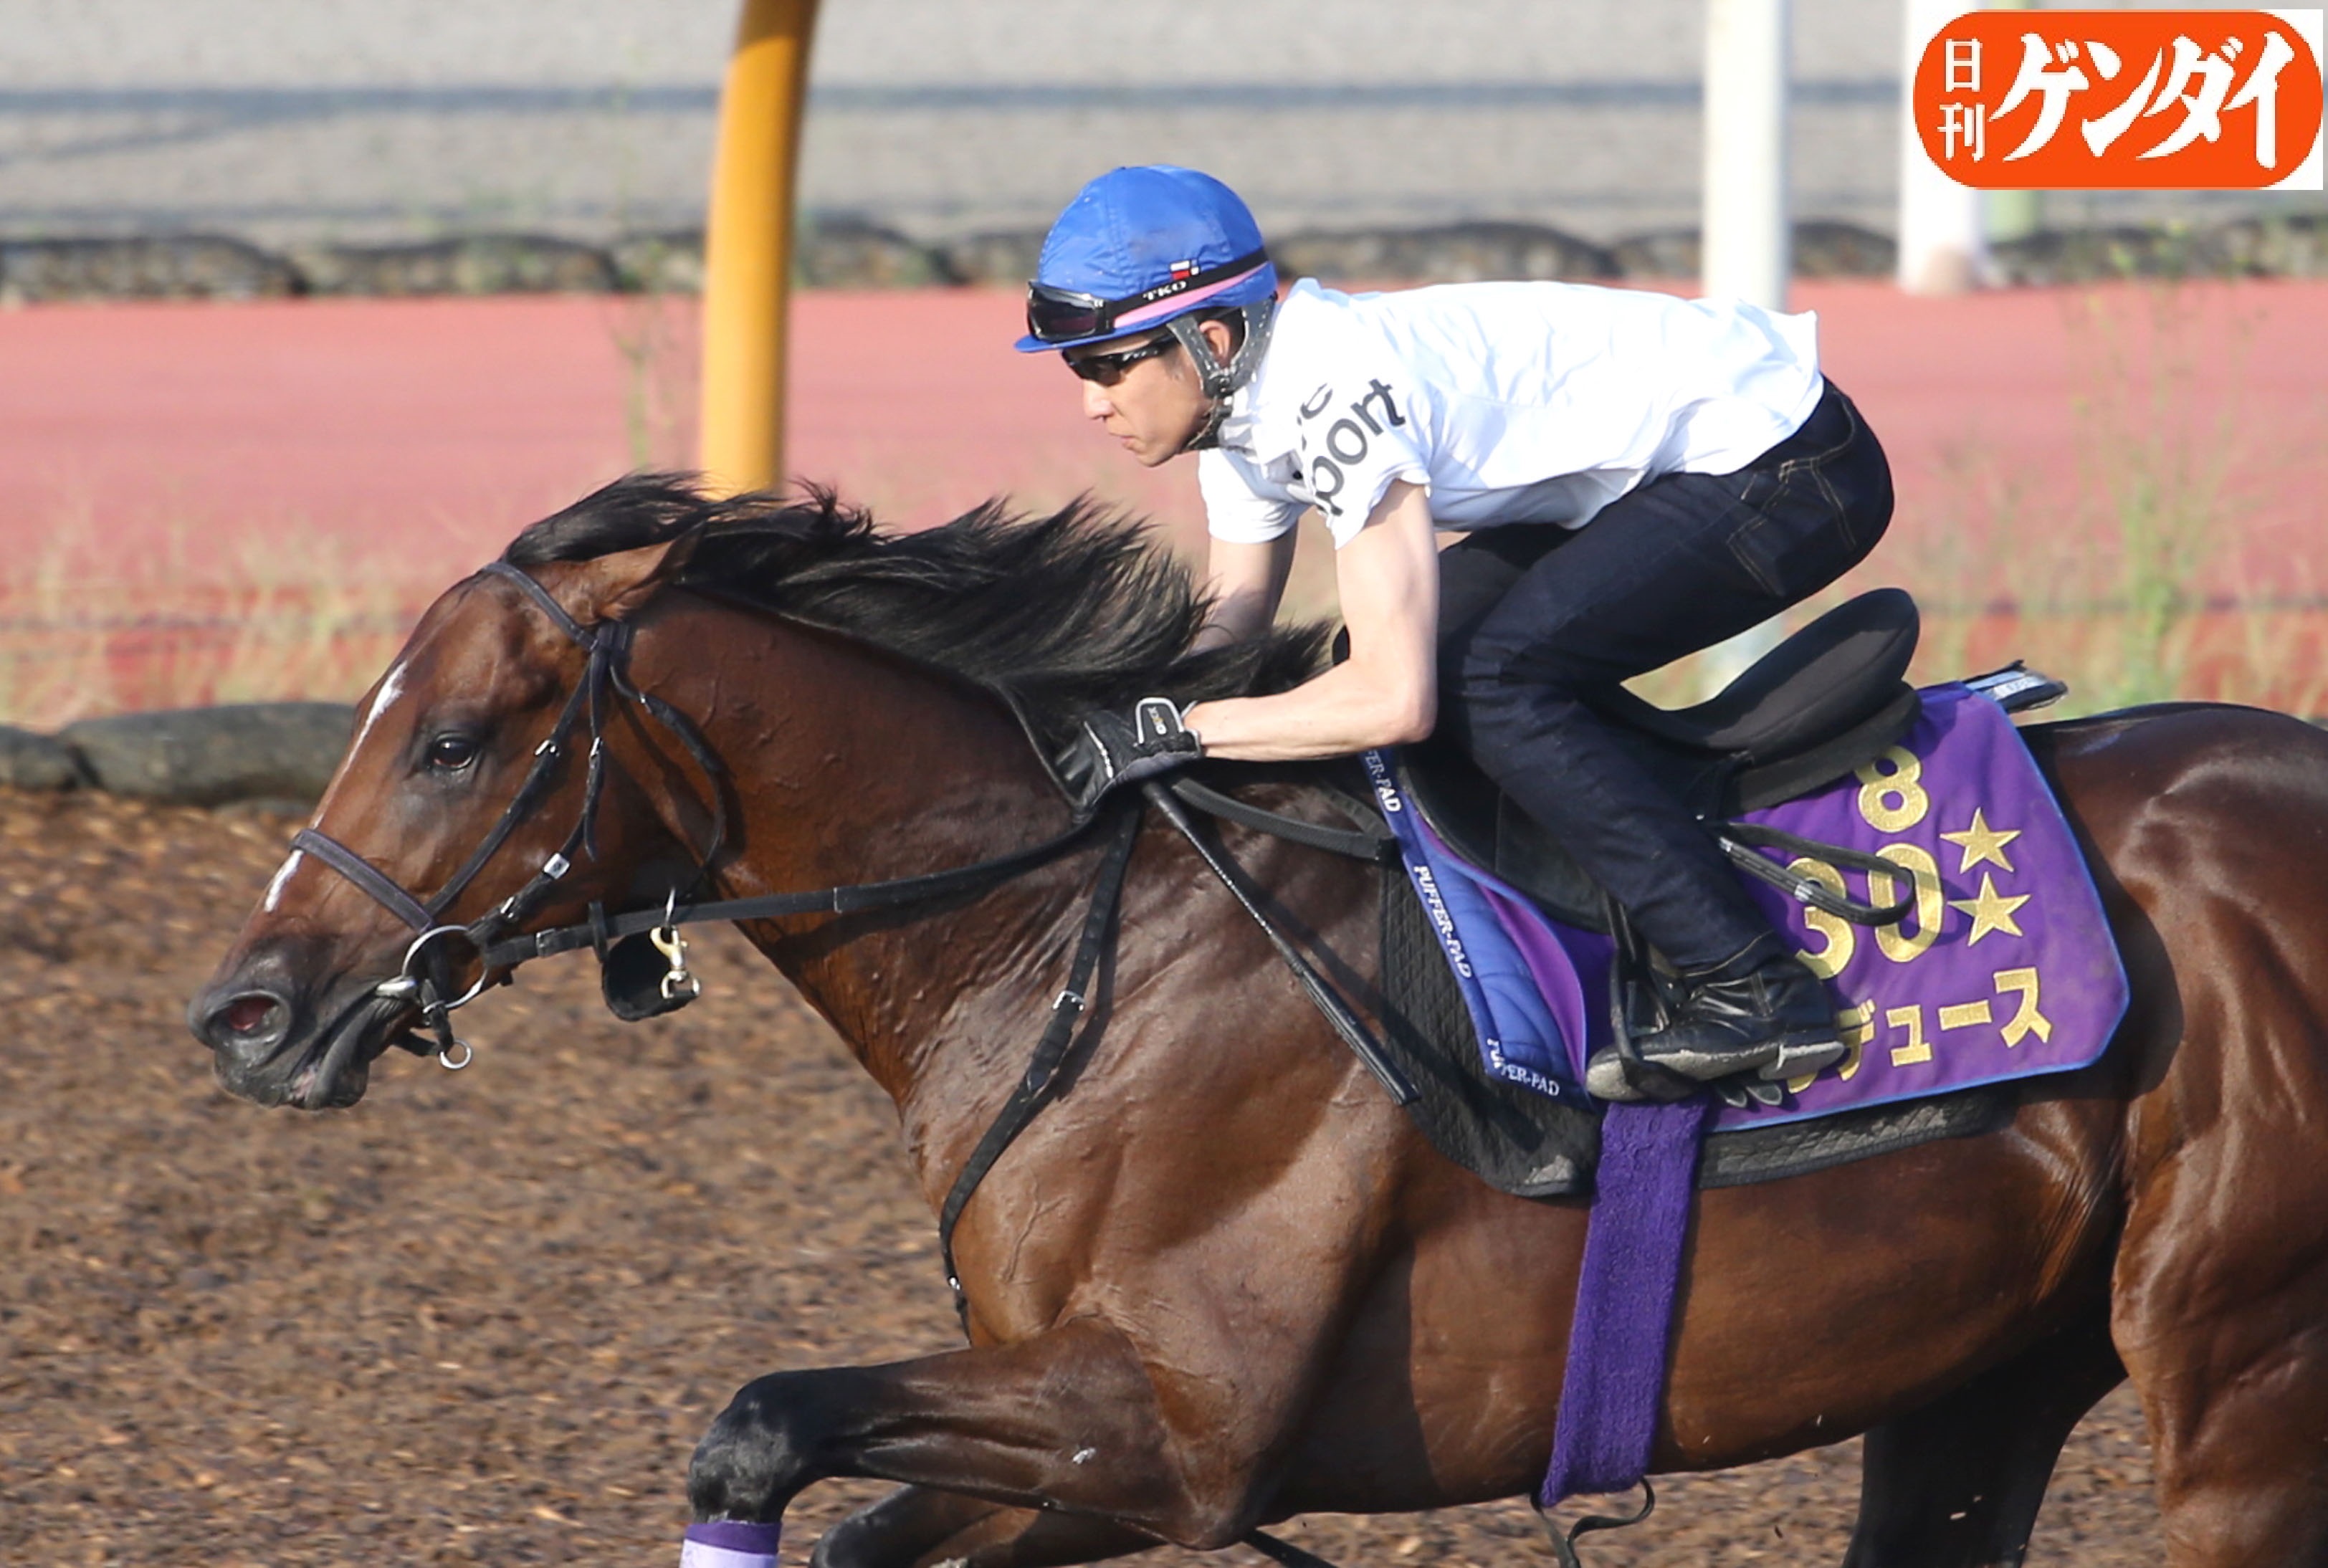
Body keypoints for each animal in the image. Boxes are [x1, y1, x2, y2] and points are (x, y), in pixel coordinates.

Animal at [191, 477, 2328, 1563]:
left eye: (455, 739)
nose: (246, 1008)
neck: (1072, 929)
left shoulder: (1181, 1421)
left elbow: (754, 1424)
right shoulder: (1089, 1448)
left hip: (2241, 1369)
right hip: (1987, 1371)